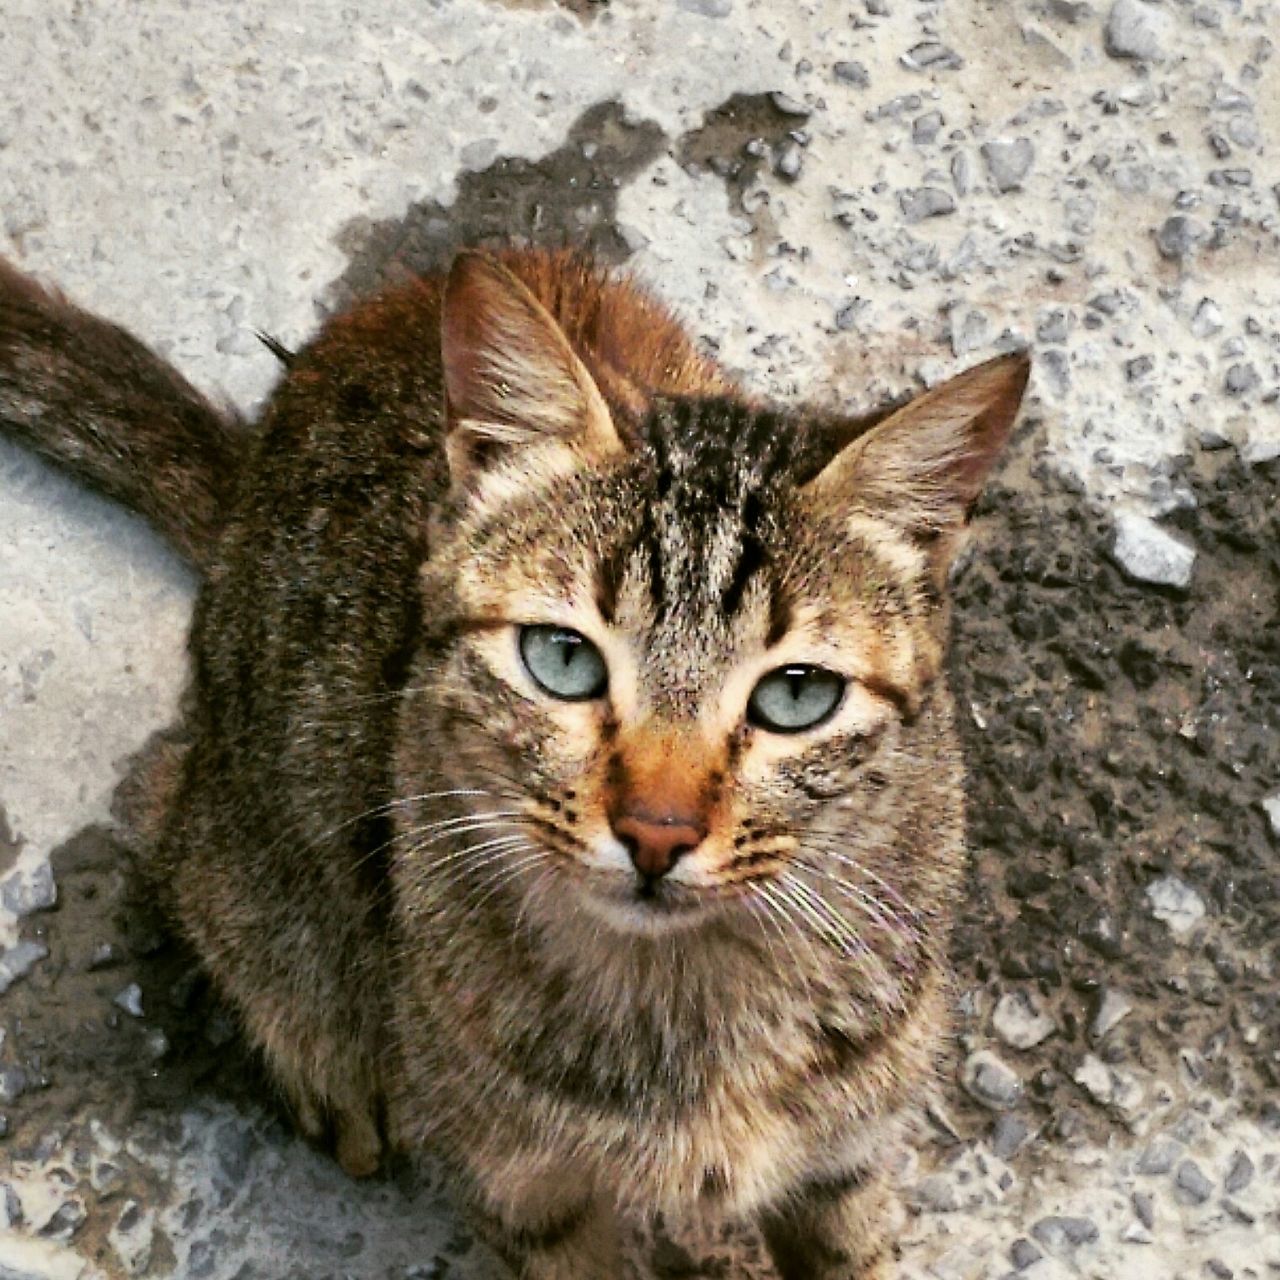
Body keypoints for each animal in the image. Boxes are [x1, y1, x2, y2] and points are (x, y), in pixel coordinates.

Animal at [0, 249, 1024, 1280]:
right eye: (561, 660)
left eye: (796, 697)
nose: (657, 833)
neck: (689, 1008)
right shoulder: (521, 1185)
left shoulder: (849, 1155)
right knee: (180, 838)